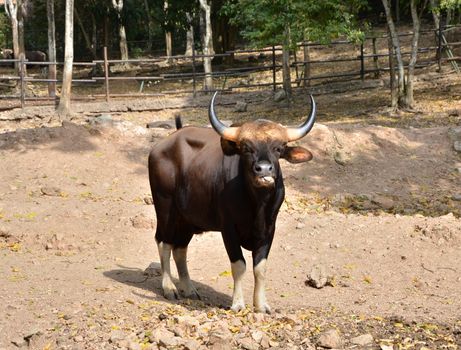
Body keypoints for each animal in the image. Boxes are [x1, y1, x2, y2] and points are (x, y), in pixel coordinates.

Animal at [149, 92, 314, 312]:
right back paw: (169, 288)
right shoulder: (228, 228)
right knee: (164, 243)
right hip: (165, 208)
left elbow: (260, 268)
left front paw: (261, 305)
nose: (263, 170)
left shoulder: (269, 229)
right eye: (246, 148)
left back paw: (189, 289)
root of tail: (162, 146)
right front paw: (237, 303)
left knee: (180, 249)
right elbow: (239, 265)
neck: (257, 205)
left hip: (187, 220)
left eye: (279, 148)